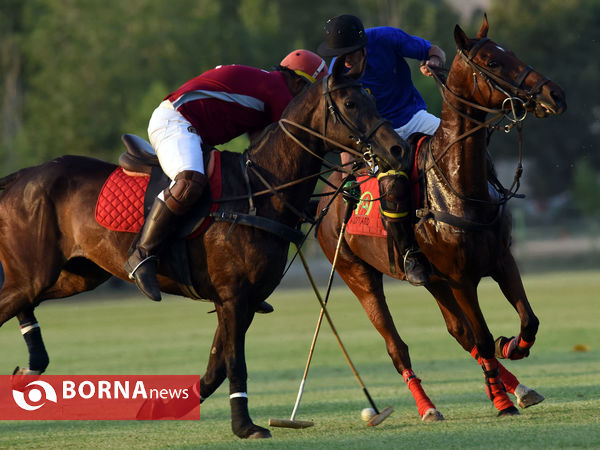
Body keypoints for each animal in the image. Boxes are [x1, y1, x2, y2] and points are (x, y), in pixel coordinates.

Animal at [0, 61, 408, 438]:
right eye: (351, 102)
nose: (396, 148)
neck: (260, 191)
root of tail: (17, 177)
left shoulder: (240, 299)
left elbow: (216, 366)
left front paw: (162, 408)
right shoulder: (233, 295)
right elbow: (235, 364)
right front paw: (246, 426)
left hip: (76, 275)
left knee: (23, 300)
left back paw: (32, 364)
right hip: (37, 272)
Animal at [316, 15, 564, 420]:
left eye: (510, 52)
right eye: (493, 62)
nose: (554, 95)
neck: (459, 182)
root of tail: (334, 190)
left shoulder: (501, 259)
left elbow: (528, 321)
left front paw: (511, 347)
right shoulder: (462, 278)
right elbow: (482, 336)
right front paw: (499, 402)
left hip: (432, 279)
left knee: (458, 332)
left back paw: (520, 388)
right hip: (358, 274)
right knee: (399, 346)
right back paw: (428, 406)